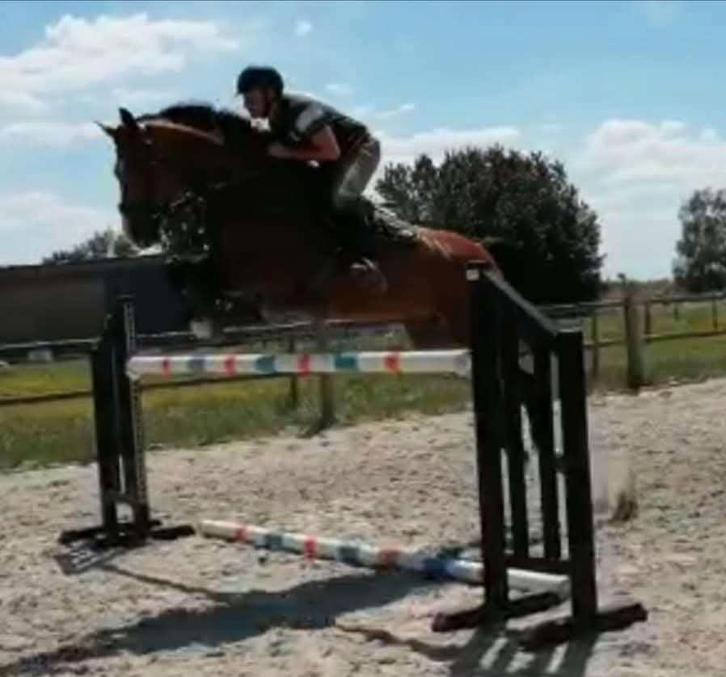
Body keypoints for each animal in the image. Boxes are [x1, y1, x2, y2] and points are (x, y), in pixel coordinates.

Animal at [100, 104, 500, 348]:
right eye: (116, 172)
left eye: (143, 165)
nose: (135, 232)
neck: (245, 191)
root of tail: (481, 252)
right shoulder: (222, 267)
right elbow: (183, 272)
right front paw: (205, 319)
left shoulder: (271, 278)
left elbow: (239, 293)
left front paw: (212, 317)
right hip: (429, 330)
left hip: (460, 323)